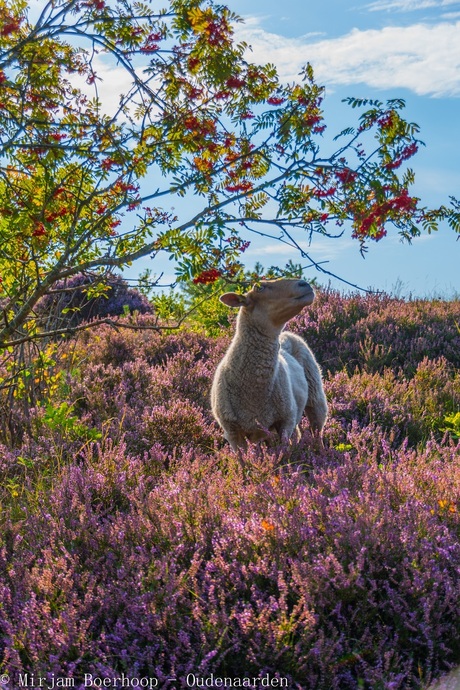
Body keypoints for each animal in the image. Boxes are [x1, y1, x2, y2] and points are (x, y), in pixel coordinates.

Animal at [210, 276, 328, 454]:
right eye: (259, 287)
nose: (304, 284)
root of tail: (287, 335)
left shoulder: (285, 420)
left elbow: (284, 452)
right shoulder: (232, 433)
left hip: (315, 393)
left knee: (316, 430)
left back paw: (320, 452)